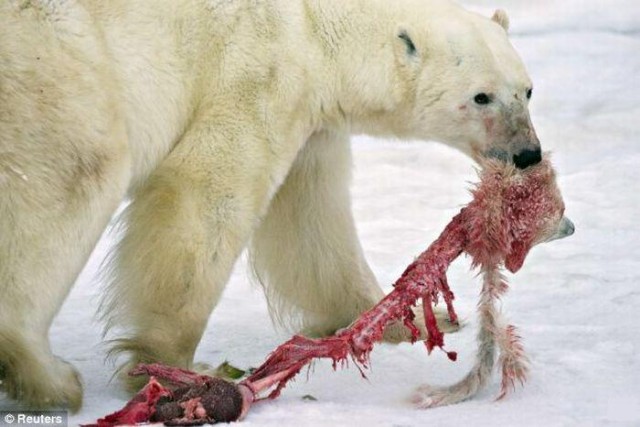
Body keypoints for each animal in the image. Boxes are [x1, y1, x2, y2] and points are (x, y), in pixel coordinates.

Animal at [0, 0, 540, 414]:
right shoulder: (257, 69)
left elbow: (311, 221)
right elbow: (208, 192)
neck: (314, 23)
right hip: (60, 66)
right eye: (481, 96)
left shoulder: (309, 118)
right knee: (74, 176)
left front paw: (394, 321)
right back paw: (47, 378)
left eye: (527, 90)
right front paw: (179, 366)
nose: (528, 154)